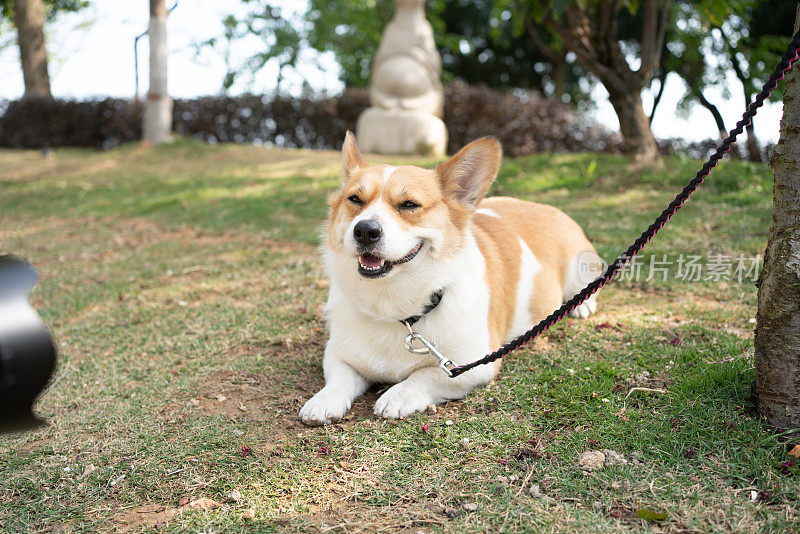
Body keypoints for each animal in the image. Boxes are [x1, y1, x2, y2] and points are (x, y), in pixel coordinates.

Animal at [300, 132, 600, 426]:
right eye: (354, 200)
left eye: (409, 204)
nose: (364, 230)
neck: (393, 307)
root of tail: (544, 206)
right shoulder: (337, 355)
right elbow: (339, 379)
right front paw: (324, 401)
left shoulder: (471, 366)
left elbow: (423, 376)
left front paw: (398, 395)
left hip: (582, 264)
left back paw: (581, 304)